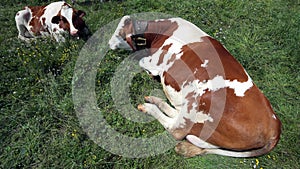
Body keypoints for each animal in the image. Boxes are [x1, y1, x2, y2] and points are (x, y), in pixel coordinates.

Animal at [109, 15, 282, 157]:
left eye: (121, 33)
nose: (109, 43)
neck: (164, 30)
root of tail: (275, 127)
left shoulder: (156, 61)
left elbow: (142, 62)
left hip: (198, 100)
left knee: (177, 131)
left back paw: (148, 107)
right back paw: (155, 101)